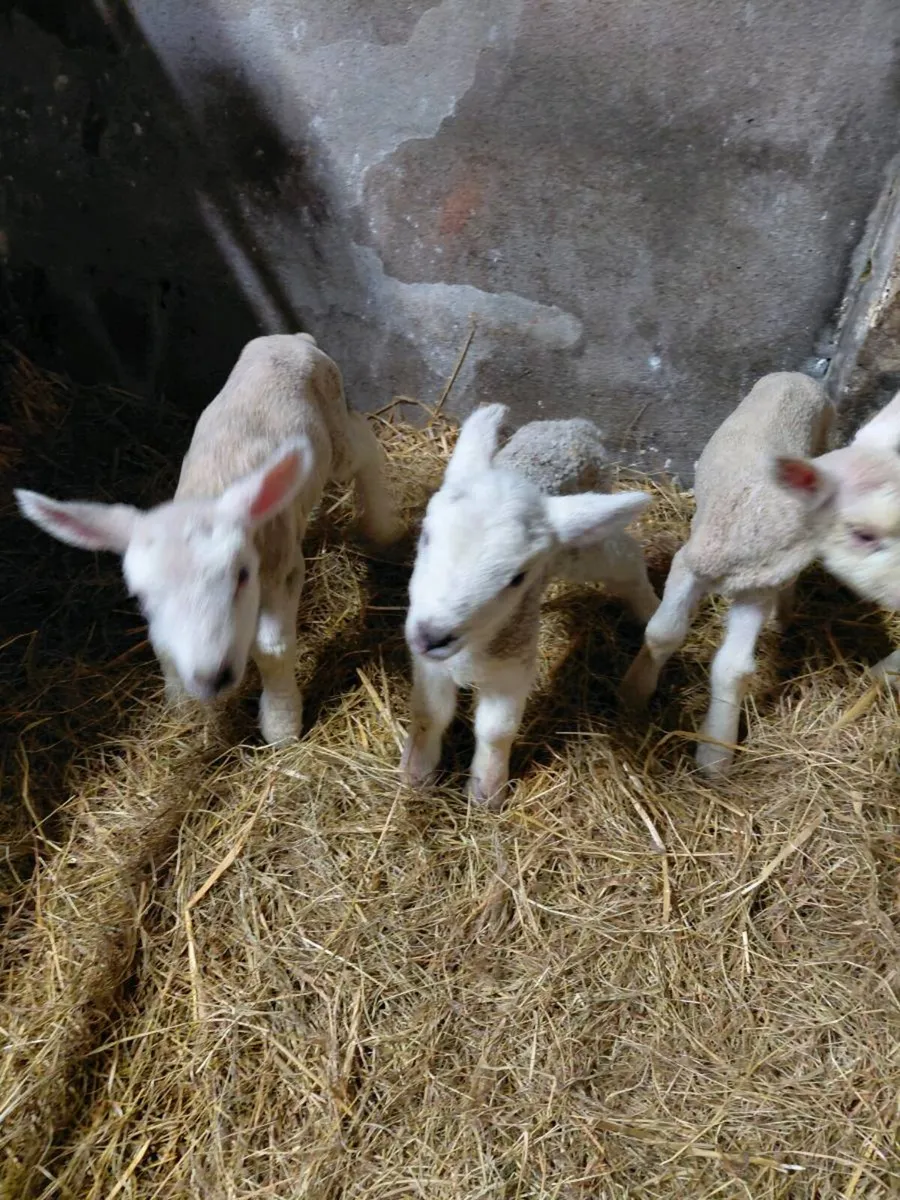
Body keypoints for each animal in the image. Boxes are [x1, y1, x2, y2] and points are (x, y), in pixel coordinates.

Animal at [15, 333, 402, 745]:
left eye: (242, 576)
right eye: (140, 596)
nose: (211, 678)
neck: (208, 490)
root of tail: (291, 338)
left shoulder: (281, 569)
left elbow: (273, 649)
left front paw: (281, 724)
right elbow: (162, 646)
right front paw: (181, 706)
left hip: (334, 419)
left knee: (363, 444)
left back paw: (380, 526)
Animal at [401, 403, 658, 807]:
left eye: (517, 578)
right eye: (425, 536)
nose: (432, 635)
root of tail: (575, 426)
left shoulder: (514, 662)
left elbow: (496, 731)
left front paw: (487, 792)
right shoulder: (429, 665)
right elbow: (429, 714)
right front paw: (416, 774)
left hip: (581, 545)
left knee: (626, 558)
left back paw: (652, 611)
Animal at [620, 370, 900, 778]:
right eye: (863, 534)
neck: (767, 513)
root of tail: (796, 375)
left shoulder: (755, 590)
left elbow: (732, 668)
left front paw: (715, 752)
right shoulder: (690, 562)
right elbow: (662, 633)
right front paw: (634, 691)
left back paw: (783, 615)